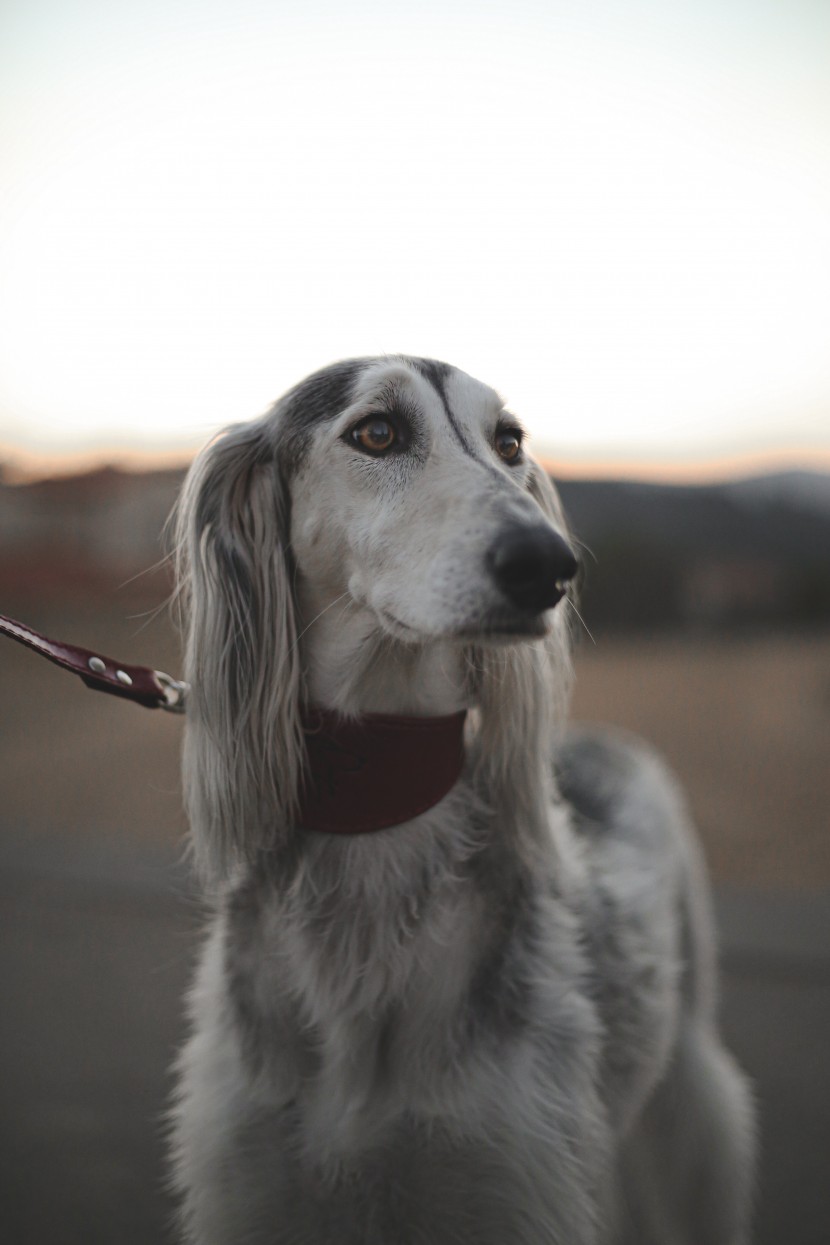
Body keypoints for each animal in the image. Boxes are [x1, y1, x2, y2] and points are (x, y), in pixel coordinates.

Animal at [166, 356, 751, 1240]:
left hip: (687, 1084)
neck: (379, 816)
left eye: (508, 441)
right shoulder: (262, 1183)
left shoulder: (502, 1175)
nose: (548, 565)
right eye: (376, 432)